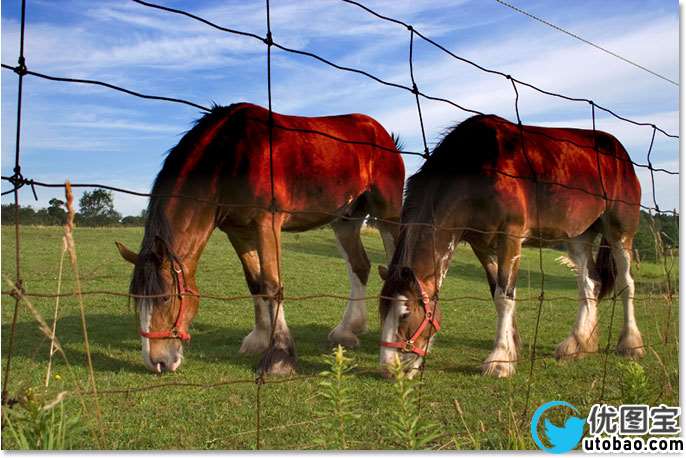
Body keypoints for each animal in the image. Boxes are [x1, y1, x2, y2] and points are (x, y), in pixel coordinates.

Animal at [112, 104, 404, 376]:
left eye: (163, 298)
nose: (156, 362)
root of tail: (382, 133)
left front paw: (279, 356)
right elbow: (255, 283)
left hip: (388, 213)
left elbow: (272, 284)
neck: (229, 157)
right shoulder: (238, 231)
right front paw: (260, 339)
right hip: (345, 221)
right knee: (359, 266)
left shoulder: (267, 223)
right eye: (137, 299)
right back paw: (347, 330)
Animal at [382, 112, 644, 378]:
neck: (475, 171)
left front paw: (499, 360)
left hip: (620, 232)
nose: (390, 369)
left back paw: (631, 345)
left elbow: (504, 296)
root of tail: (620, 153)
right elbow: (498, 292)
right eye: (381, 310)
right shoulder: (481, 246)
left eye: (405, 315)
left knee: (626, 283)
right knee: (590, 283)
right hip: (579, 237)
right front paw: (512, 347)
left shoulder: (510, 237)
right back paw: (578, 344)